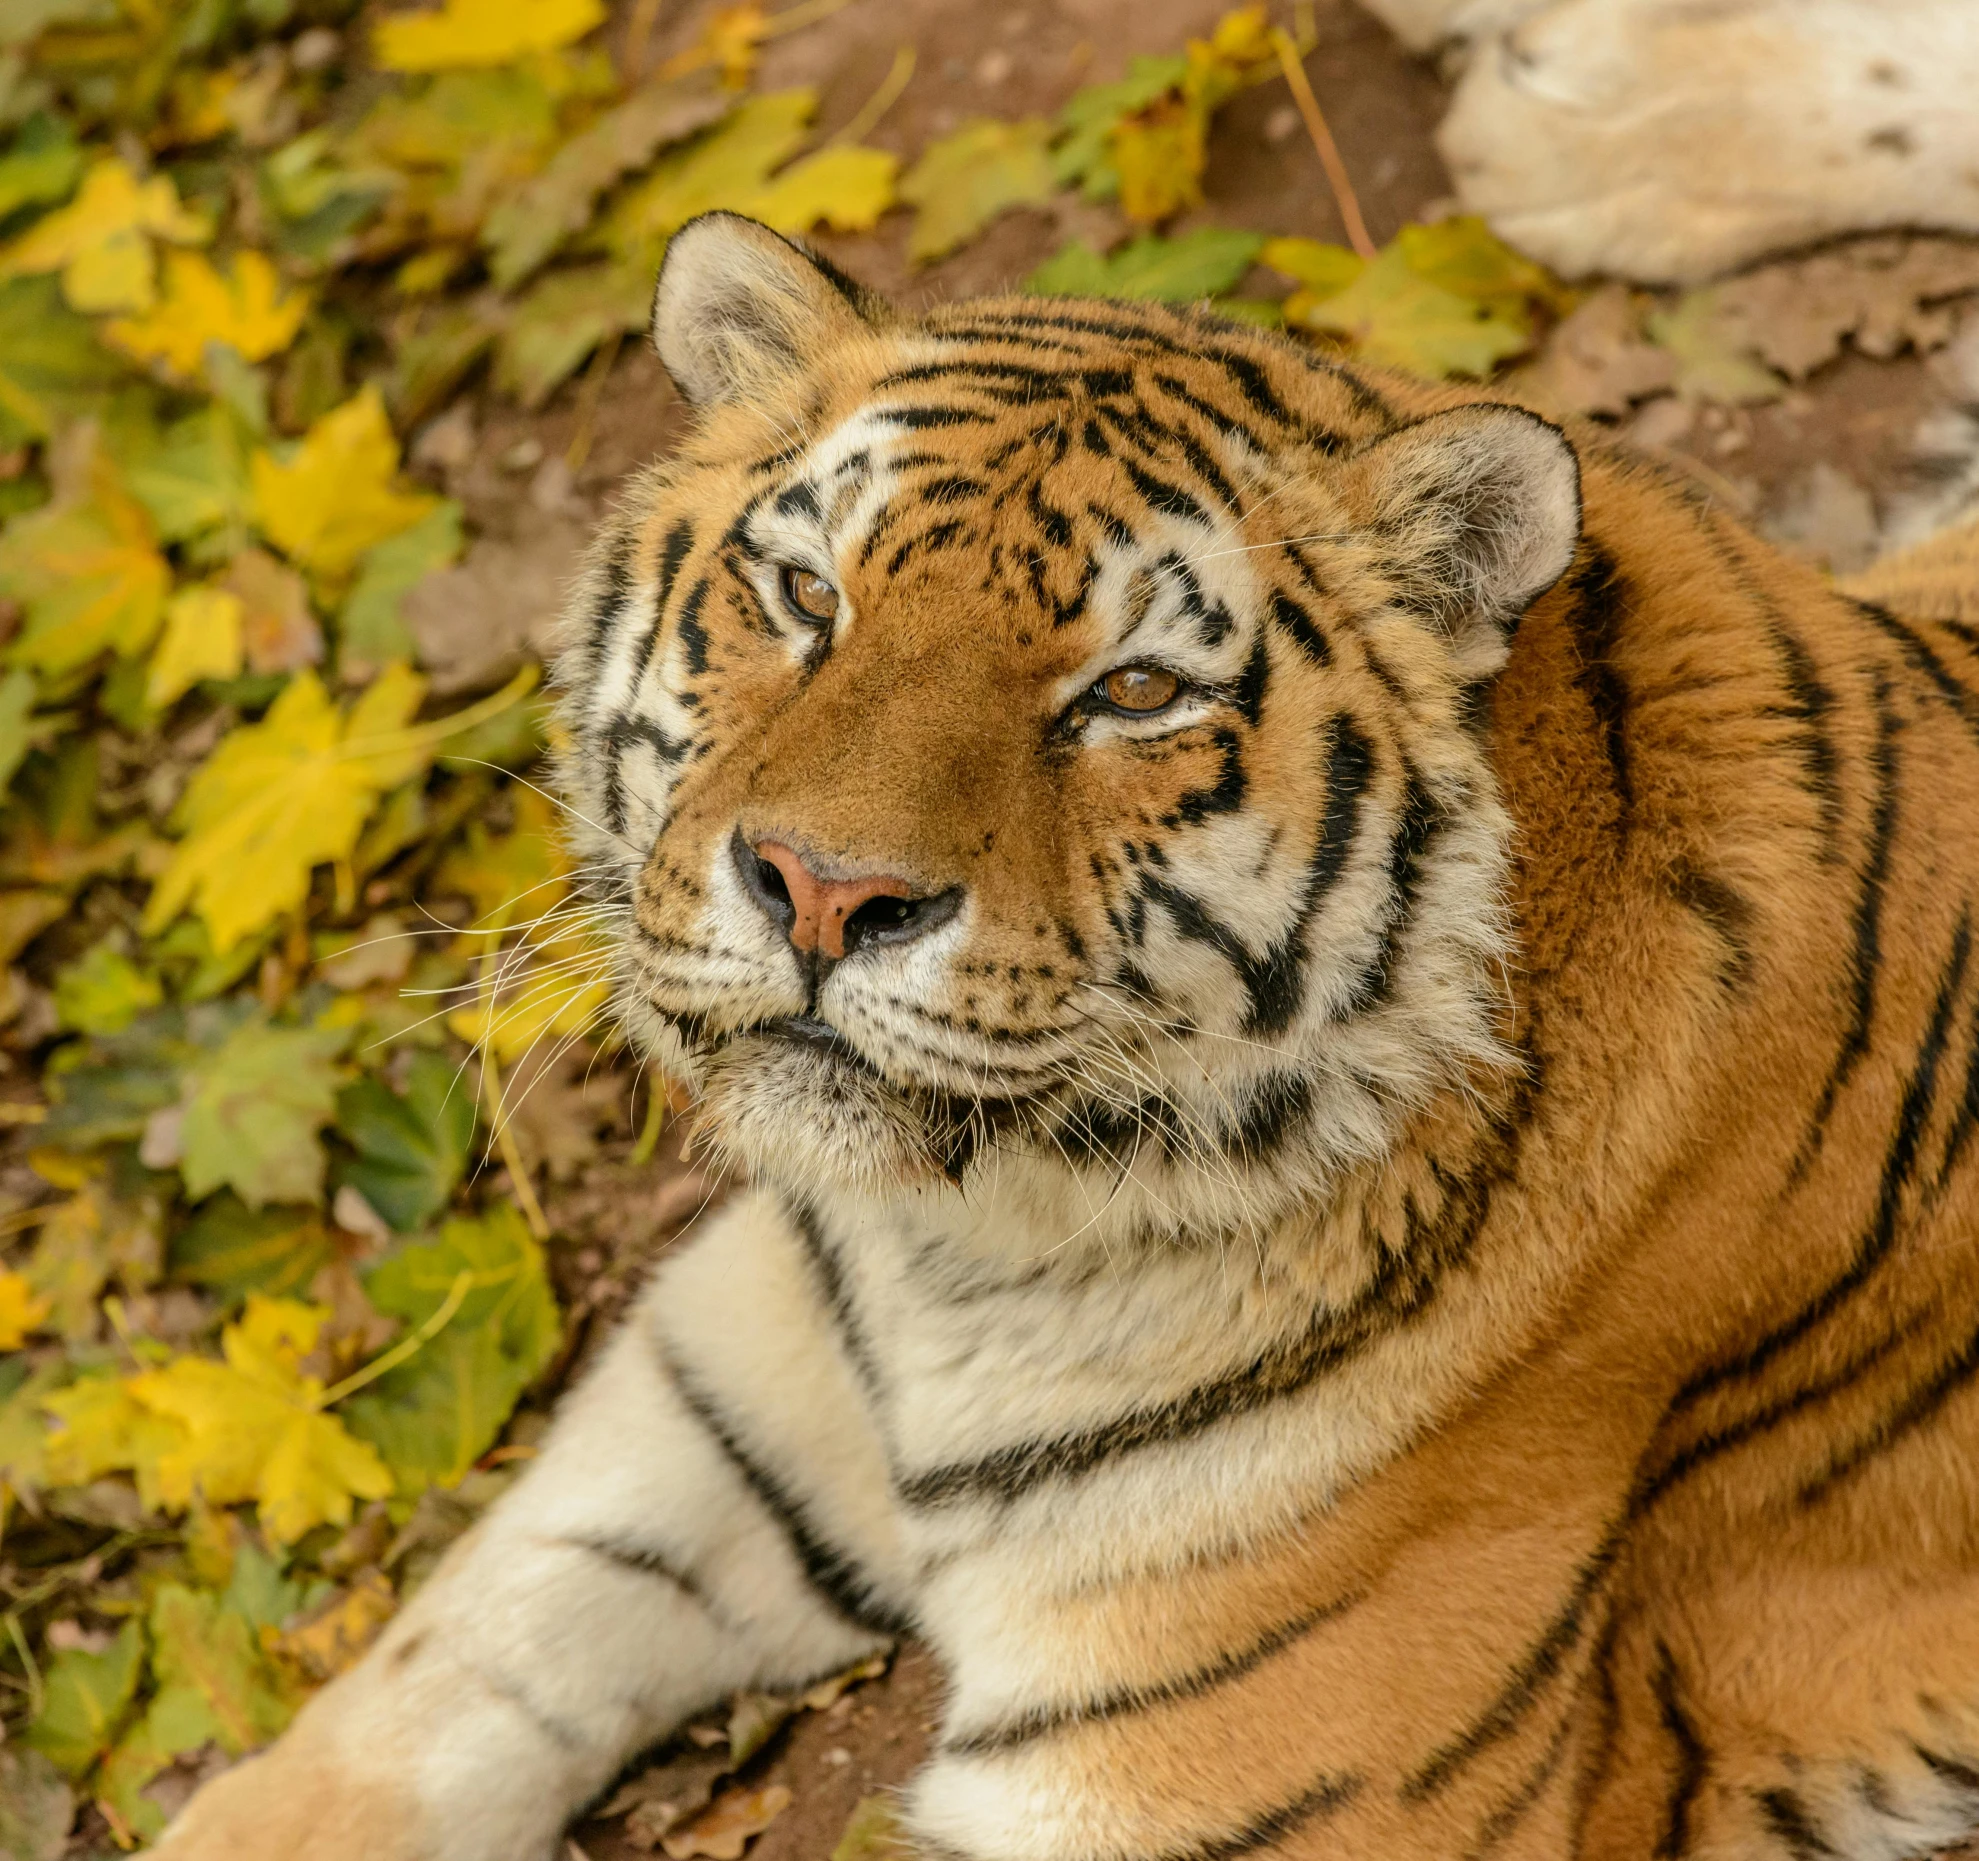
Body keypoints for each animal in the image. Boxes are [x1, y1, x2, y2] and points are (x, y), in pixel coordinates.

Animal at [162, 217, 1979, 1861]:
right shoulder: (713, 1386)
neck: (965, 1251)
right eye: (804, 594)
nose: (822, 891)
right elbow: (427, 1683)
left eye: (1132, 693)